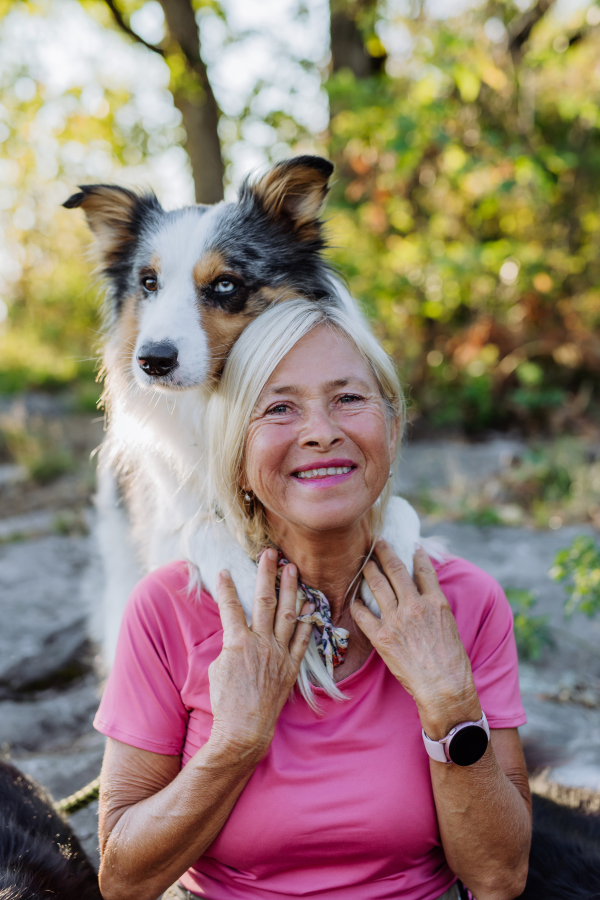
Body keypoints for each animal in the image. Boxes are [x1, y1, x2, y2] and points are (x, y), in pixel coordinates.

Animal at [64, 153, 422, 660]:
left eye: (224, 284)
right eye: (148, 283)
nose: (152, 361)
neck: (210, 405)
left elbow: (401, 508)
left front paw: (388, 571)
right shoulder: (164, 526)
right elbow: (200, 525)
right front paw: (252, 585)